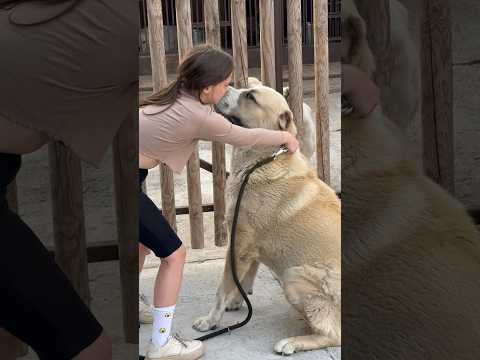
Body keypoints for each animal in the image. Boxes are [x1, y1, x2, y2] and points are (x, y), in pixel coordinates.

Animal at [192, 82, 342, 354]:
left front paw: (211, 321)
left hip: (293, 276)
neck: (264, 160)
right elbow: (245, 276)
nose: (222, 87)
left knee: (333, 334)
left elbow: (222, 287)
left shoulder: (239, 244)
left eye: (250, 96)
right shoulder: (250, 246)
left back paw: (292, 342)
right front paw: (236, 300)